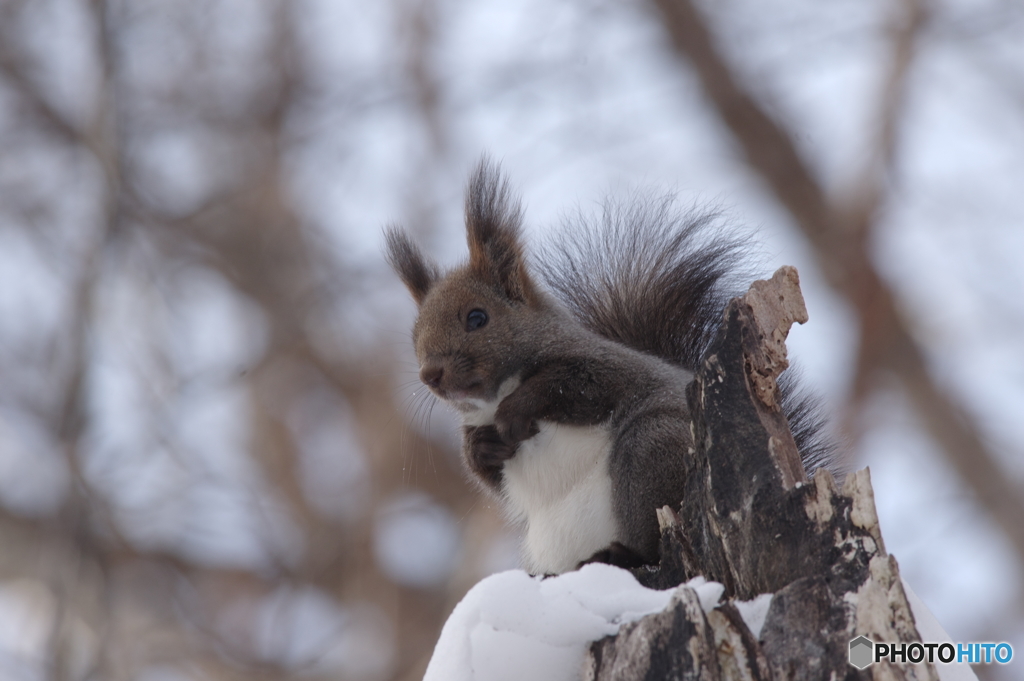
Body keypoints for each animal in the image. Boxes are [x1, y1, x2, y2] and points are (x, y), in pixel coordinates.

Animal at [385, 159, 831, 573]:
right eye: (414, 336)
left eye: (477, 317)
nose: (430, 375)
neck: (494, 397)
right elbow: (491, 480)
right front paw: (479, 447)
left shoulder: (610, 369)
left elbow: (574, 385)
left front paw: (516, 409)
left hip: (653, 447)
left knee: (649, 536)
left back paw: (623, 553)